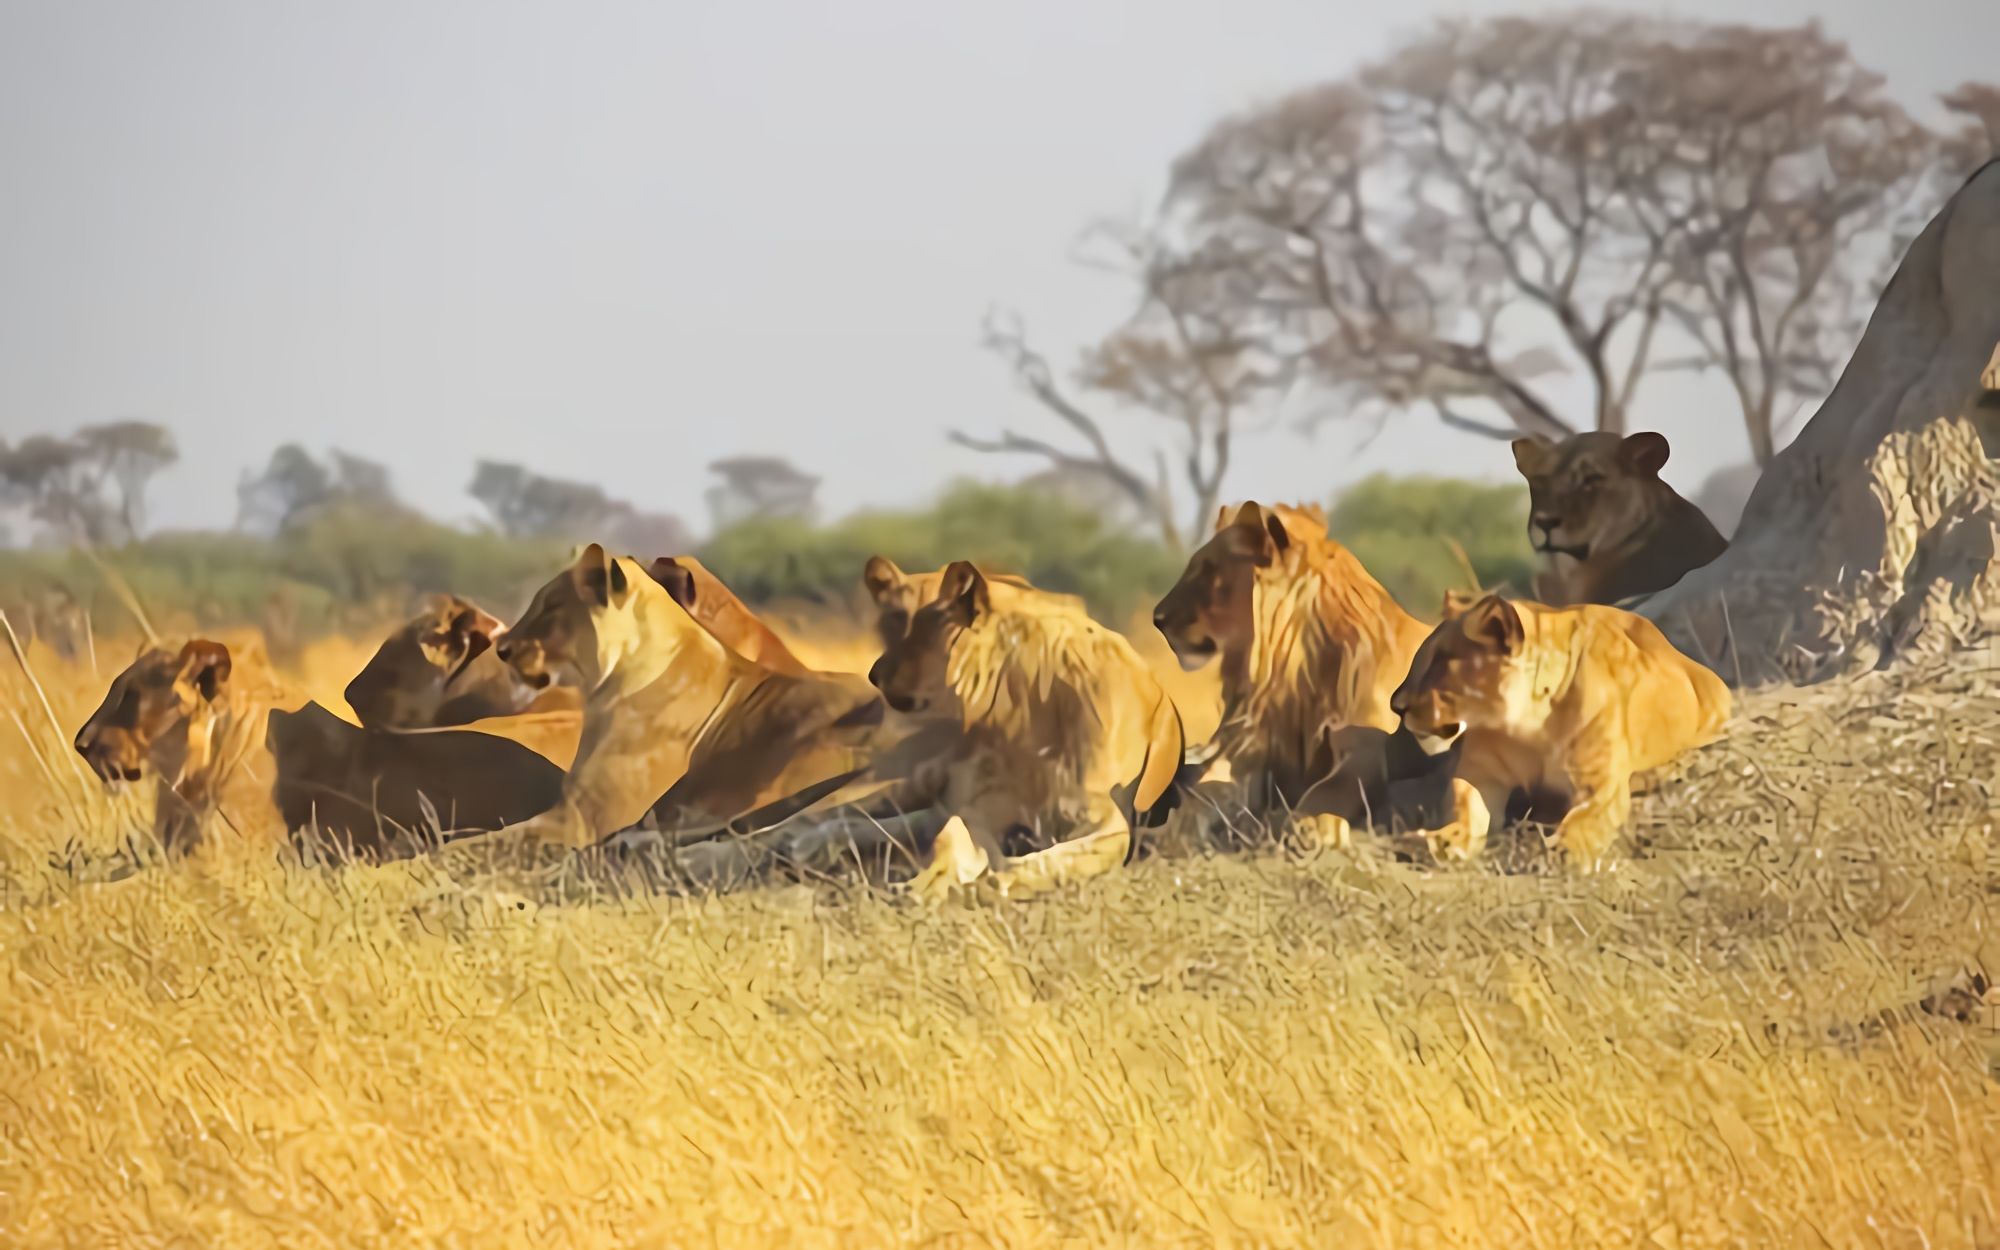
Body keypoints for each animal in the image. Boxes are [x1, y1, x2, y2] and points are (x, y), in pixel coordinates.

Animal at [872, 564, 1184, 896]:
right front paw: (927, 880)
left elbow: (1065, 855)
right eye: (896, 621)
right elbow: (953, 836)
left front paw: (998, 878)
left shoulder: (1101, 811)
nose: (873, 674)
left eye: (920, 627)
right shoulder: (985, 804)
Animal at [1392, 592, 1736, 868]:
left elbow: (1585, 818)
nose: (1396, 706)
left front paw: (1560, 851)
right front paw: (1437, 841)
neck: (1528, 726)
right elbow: (1464, 806)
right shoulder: (1481, 773)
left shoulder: (1600, 784)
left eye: (1439, 664)